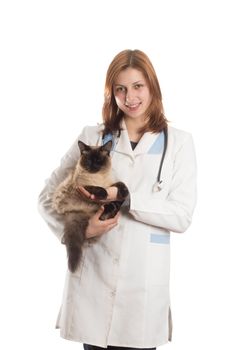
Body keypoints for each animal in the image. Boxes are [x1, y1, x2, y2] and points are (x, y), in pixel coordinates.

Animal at [53, 139, 130, 274]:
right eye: (89, 160)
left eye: (99, 161)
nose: (93, 166)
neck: (98, 177)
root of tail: (76, 212)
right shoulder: (81, 187)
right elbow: (97, 188)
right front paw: (104, 194)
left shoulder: (111, 184)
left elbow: (120, 184)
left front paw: (124, 192)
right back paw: (108, 209)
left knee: (112, 207)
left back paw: (112, 207)